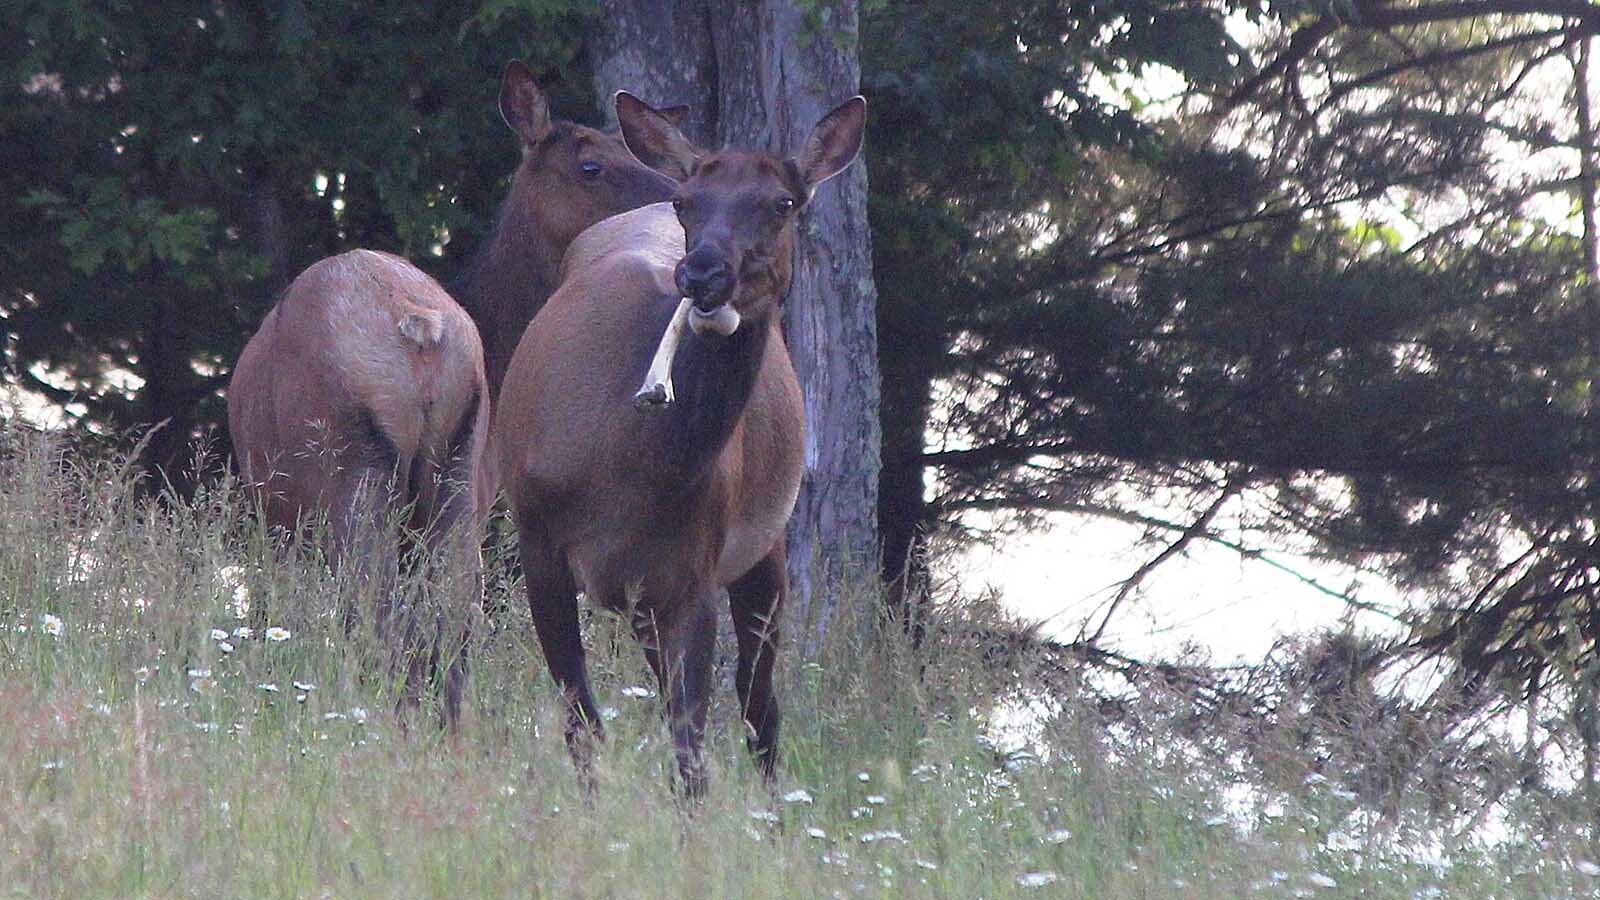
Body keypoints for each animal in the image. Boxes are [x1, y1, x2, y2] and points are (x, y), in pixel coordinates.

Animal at [227, 61, 681, 729]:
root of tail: (420, 328)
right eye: (592, 164)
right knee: (451, 612)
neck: (499, 346)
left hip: (351, 471)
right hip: (450, 474)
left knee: (382, 612)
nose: (678, 198)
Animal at [494, 91, 866, 794]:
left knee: (758, 700)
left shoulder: (693, 573)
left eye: (784, 202)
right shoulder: (539, 545)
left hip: (764, 547)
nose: (702, 272)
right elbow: (582, 724)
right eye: (686, 201)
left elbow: (691, 748)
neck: (626, 460)